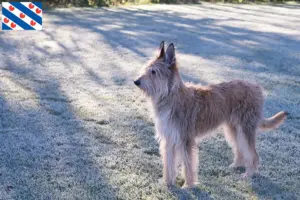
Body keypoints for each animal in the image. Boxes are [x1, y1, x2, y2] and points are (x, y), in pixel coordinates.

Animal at [133, 41, 286, 188]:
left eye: (154, 72)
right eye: (147, 69)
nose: (136, 81)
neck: (170, 96)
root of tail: (257, 87)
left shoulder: (185, 140)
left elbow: (188, 165)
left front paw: (188, 185)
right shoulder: (169, 139)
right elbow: (169, 164)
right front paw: (167, 183)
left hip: (245, 129)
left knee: (253, 153)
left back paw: (249, 173)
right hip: (233, 129)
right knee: (240, 149)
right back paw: (236, 165)